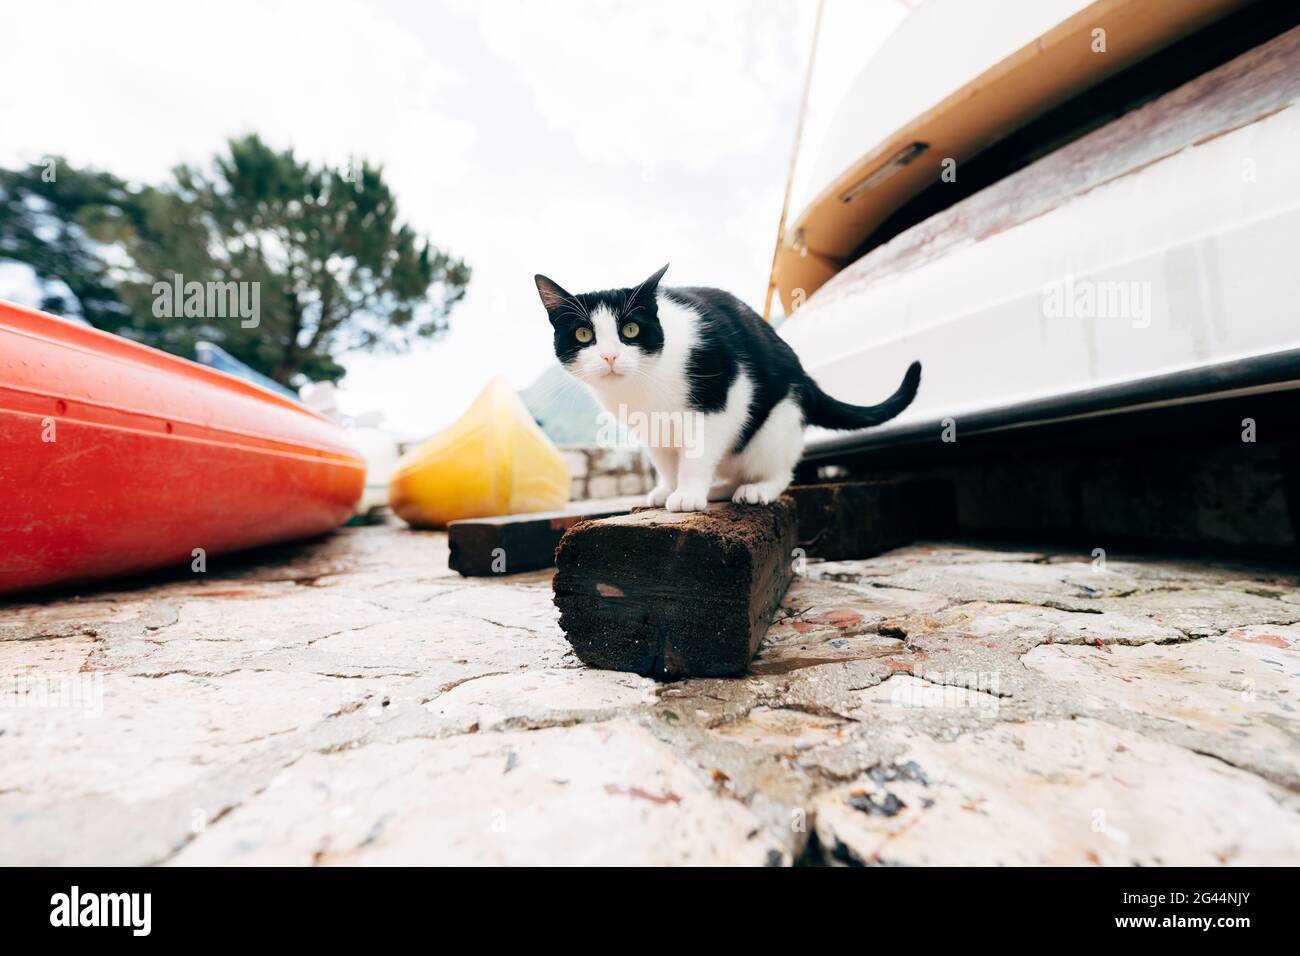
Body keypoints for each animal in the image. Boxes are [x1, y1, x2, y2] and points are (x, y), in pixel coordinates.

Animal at [533, 261, 920, 512]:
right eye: (584, 335)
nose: (611, 357)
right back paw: (719, 488)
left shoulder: (720, 398)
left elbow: (695, 453)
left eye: (631, 329)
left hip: (775, 425)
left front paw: (687, 493)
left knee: (781, 470)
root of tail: (806, 379)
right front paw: (667, 488)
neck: (643, 384)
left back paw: (756, 488)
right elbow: (664, 460)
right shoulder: (649, 427)